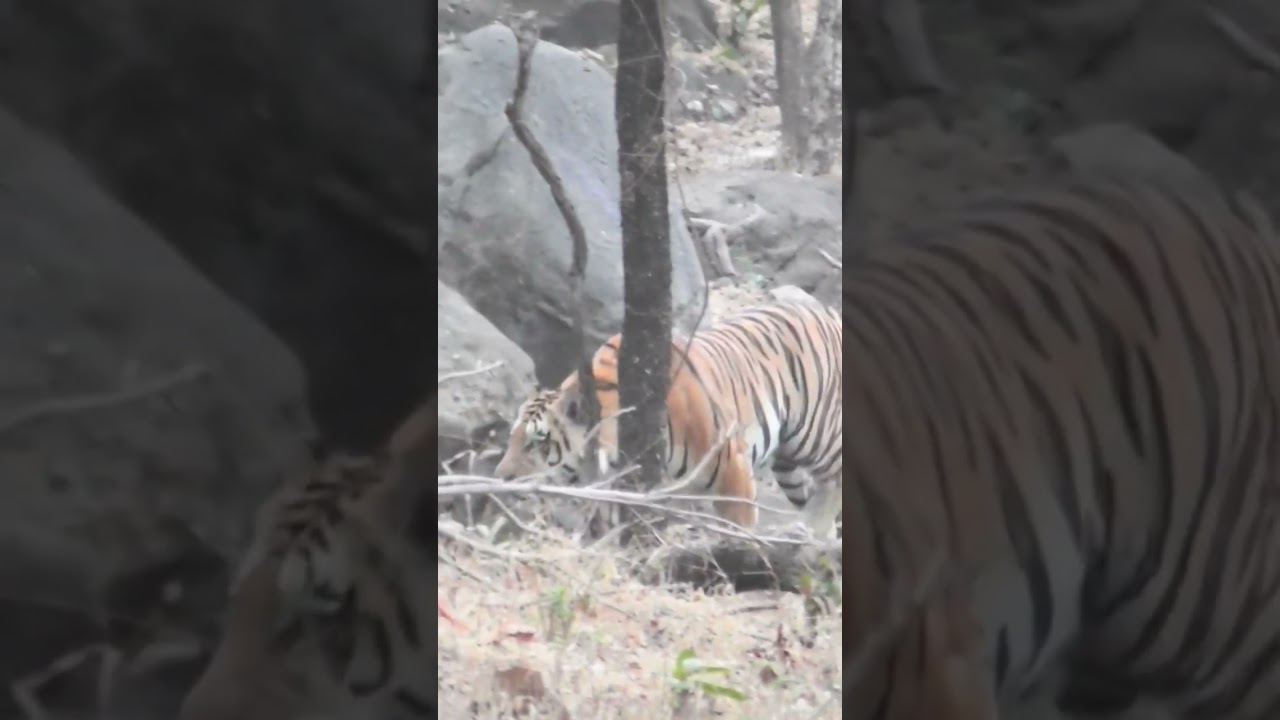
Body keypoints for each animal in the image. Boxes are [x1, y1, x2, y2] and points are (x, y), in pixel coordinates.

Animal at [494, 300, 843, 537]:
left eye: (538, 442)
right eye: (512, 438)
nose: (500, 477)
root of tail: (829, 311)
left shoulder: (732, 467)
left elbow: (739, 528)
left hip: (818, 438)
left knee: (834, 483)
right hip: (788, 468)